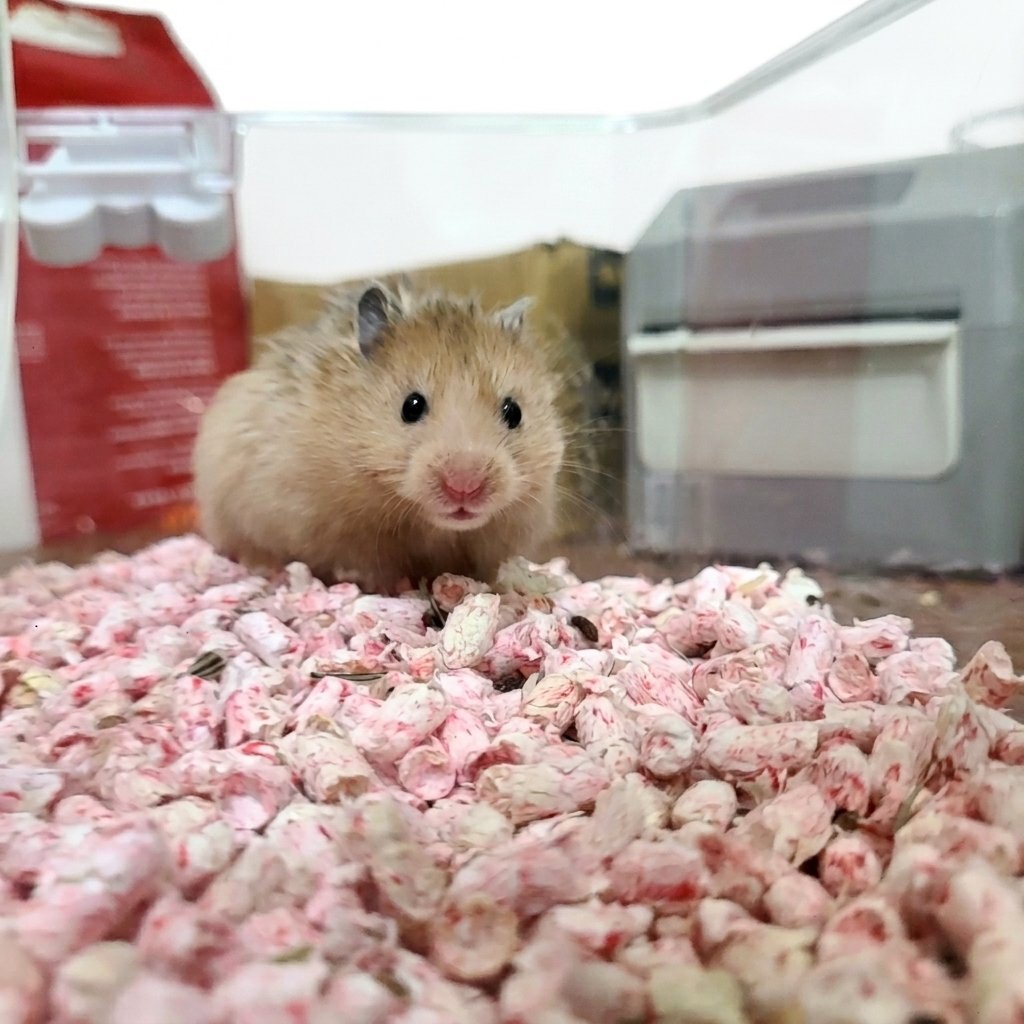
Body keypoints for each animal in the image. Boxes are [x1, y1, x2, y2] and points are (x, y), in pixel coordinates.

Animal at [193, 281, 567, 593]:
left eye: (514, 412)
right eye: (411, 406)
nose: (464, 488)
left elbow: (490, 573)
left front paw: (509, 589)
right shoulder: (339, 532)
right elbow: (371, 569)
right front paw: (387, 592)